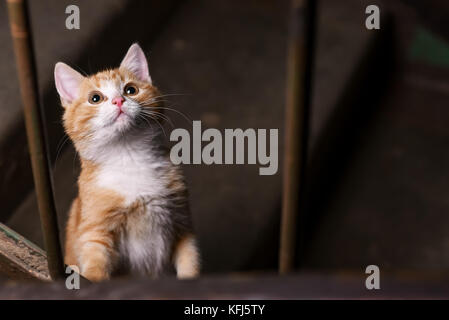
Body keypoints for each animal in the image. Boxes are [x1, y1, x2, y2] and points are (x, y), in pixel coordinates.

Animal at [53, 43, 200, 282]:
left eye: (131, 90)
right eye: (95, 98)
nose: (119, 101)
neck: (129, 159)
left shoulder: (181, 221)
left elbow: (190, 259)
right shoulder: (95, 229)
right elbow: (95, 260)